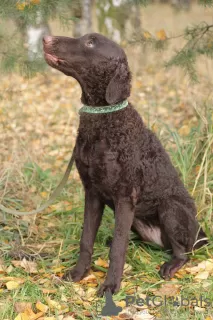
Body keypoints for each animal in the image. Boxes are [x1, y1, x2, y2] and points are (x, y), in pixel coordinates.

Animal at [42, 32, 207, 296]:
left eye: (90, 42)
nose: (46, 38)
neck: (104, 120)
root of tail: (200, 234)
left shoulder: (125, 196)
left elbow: (118, 249)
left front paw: (110, 286)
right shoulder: (92, 192)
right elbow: (86, 239)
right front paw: (79, 273)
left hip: (170, 209)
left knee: (183, 252)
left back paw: (170, 265)